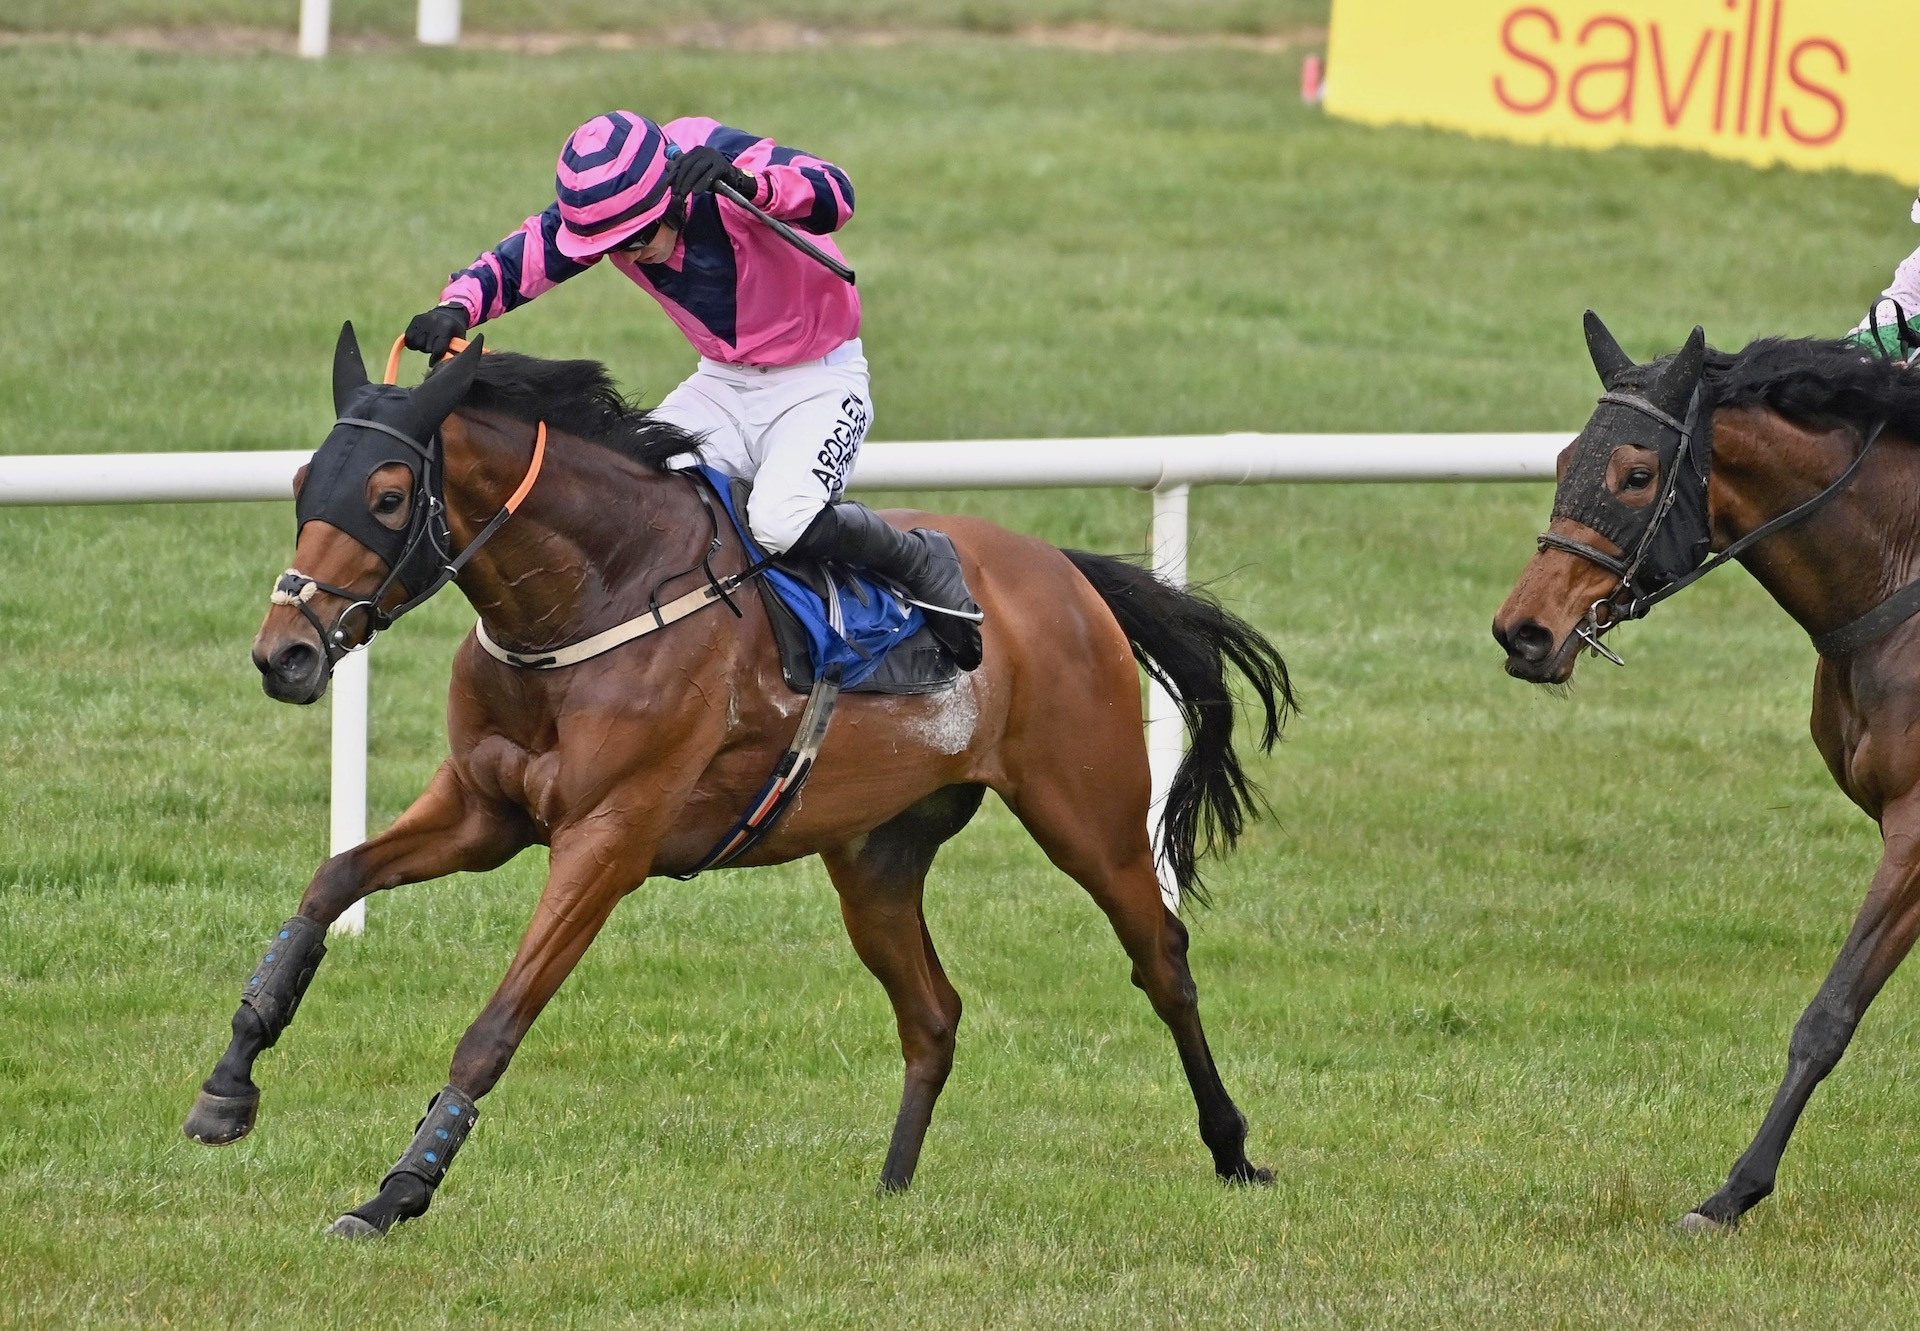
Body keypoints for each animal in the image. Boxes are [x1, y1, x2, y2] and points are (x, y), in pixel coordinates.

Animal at [187, 326, 1297, 1244]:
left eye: (385, 495)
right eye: (302, 482)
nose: (285, 654)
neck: (597, 594)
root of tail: (1061, 570)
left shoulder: (608, 838)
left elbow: (494, 1025)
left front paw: (395, 1193)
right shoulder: (481, 810)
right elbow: (330, 882)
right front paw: (227, 1086)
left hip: (1088, 813)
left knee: (1162, 958)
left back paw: (1234, 1149)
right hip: (877, 857)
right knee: (932, 1010)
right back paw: (891, 1186)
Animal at [1497, 309, 1920, 1221]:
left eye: (1635, 473)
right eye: (1562, 460)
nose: (1523, 631)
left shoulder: (1916, 832)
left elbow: (1830, 1013)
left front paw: (1733, 1192)